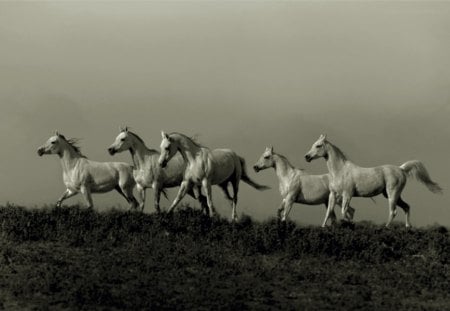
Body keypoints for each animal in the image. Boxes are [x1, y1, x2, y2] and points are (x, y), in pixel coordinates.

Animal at [304, 135, 442, 228]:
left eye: (318, 145)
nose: (307, 157)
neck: (340, 170)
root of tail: (401, 169)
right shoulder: (333, 194)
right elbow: (329, 212)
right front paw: (325, 226)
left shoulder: (347, 194)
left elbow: (344, 210)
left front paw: (347, 223)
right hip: (392, 195)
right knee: (407, 207)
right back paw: (408, 227)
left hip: (392, 194)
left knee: (393, 211)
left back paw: (386, 227)